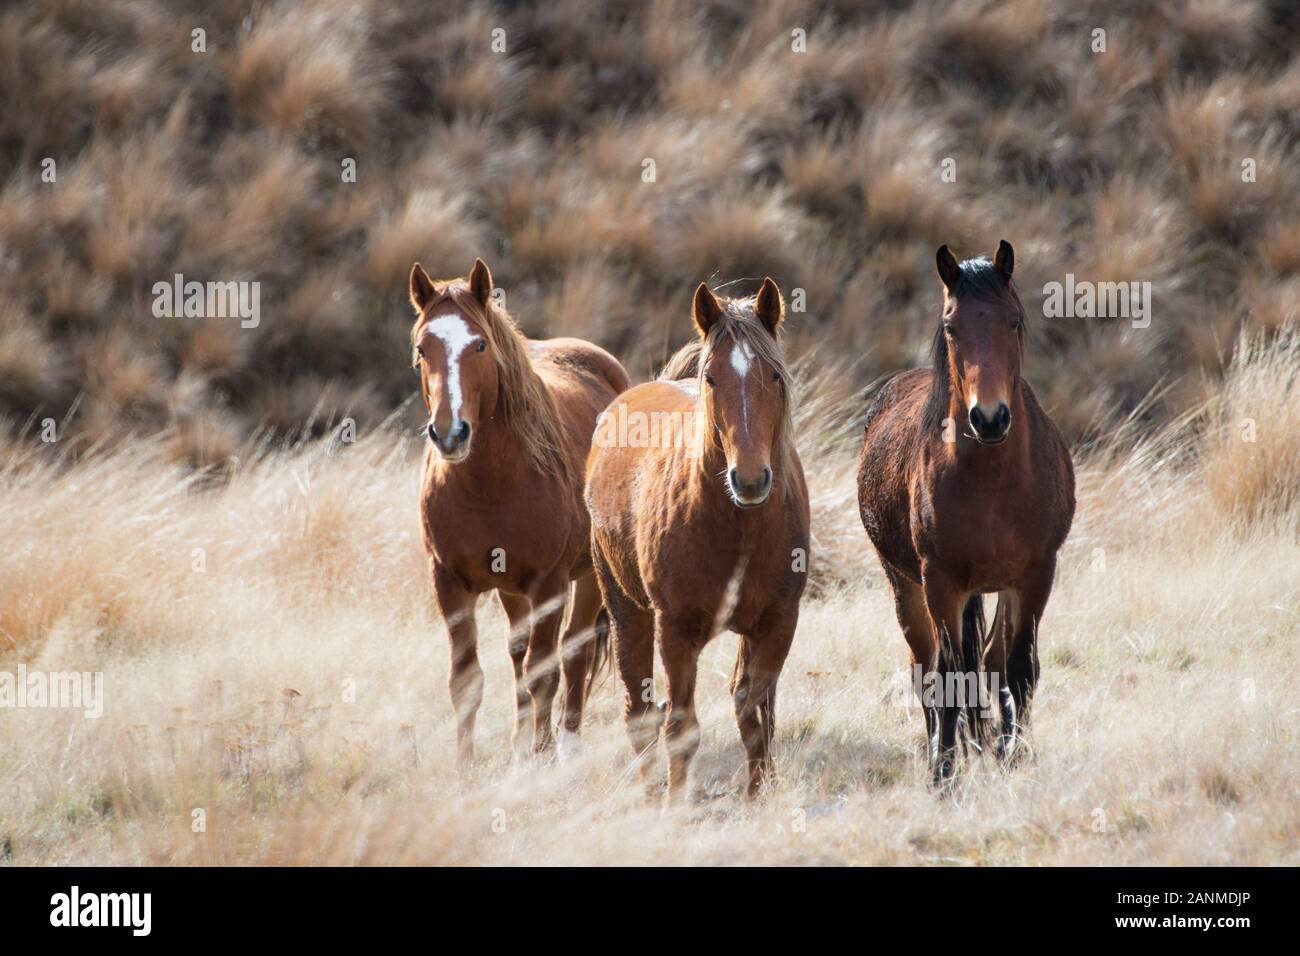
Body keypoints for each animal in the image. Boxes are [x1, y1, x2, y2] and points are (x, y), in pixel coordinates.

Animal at [405, 257, 629, 764]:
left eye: (480, 344)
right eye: (422, 349)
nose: (450, 433)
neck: (489, 487)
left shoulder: (549, 583)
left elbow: (545, 670)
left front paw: (538, 759)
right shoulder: (449, 581)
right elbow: (467, 679)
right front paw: (466, 767)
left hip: (587, 576)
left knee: (573, 653)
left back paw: (565, 746)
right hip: (510, 589)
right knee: (517, 654)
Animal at [585, 280, 806, 806]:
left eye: (773, 375)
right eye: (711, 378)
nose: (750, 479)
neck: (738, 525)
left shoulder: (778, 623)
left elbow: (754, 713)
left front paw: (758, 796)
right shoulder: (676, 630)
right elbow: (681, 726)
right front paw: (673, 806)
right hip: (627, 611)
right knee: (639, 710)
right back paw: (650, 795)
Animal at [852, 243, 1076, 790]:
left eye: (1013, 321)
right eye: (951, 326)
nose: (989, 417)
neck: (991, 482)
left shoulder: (1035, 575)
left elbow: (1019, 668)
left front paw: (1013, 755)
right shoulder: (941, 582)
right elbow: (949, 675)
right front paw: (944, 774)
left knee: (992, 660)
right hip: (906, 586)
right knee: (927, 668)